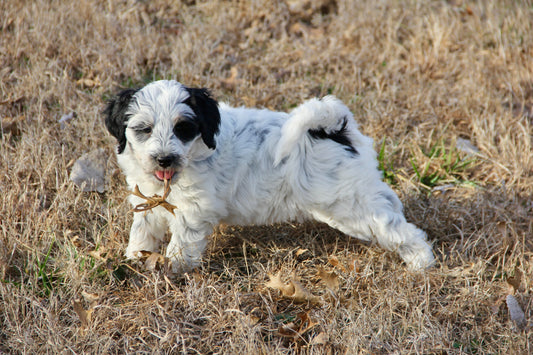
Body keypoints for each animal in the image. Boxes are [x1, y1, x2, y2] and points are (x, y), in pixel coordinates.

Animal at [103, 80, 432, 274]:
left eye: (183, 128)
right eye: (144, 129)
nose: (164, 159)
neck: (196, 153)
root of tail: (335, 129)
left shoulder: (193, 212)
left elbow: (182, 243)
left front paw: (173, 270)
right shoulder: (148, 200)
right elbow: (142, 230)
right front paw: (134, 258)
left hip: (350, 207)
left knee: (398, 229)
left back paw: (421, 263)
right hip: (359, 194)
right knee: (388, 202)